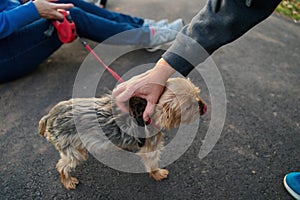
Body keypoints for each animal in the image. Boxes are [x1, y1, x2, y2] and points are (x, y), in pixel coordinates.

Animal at [38, 77, 206, 190]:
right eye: (189, 107)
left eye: (198, 94)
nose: (203, 106)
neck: (149, 108)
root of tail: (49, 117)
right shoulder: (150, 146)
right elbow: (152, 161)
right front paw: (157, 173)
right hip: (72, 149)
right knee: (62, 166)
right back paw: (68, 182)